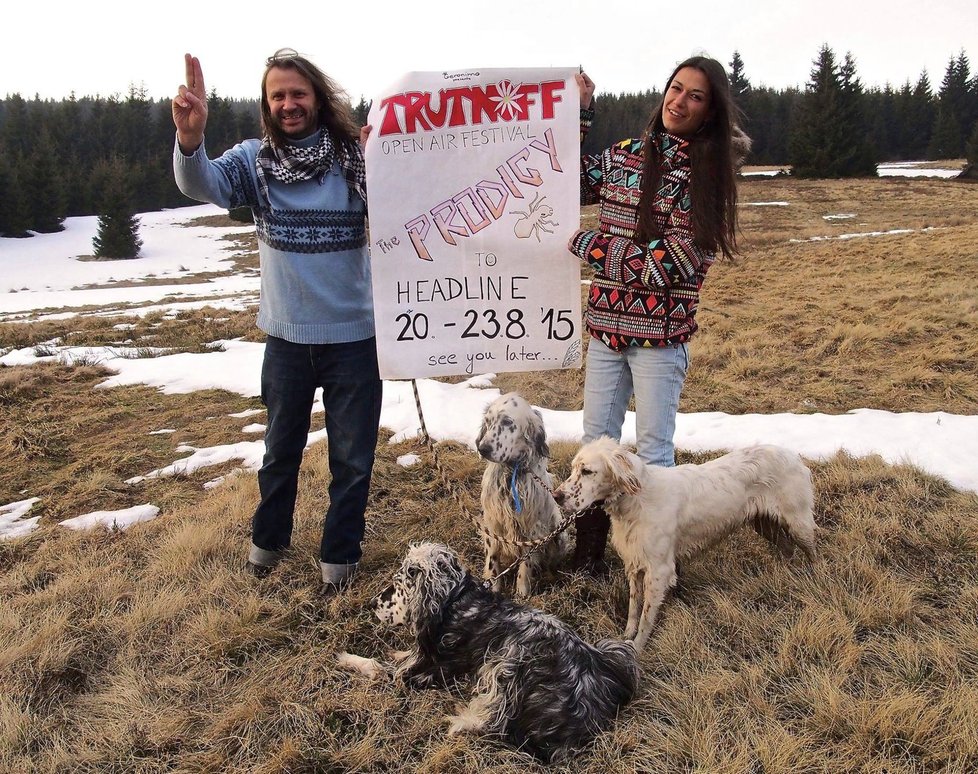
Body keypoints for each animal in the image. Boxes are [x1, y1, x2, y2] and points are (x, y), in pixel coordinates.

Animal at [336, 544, 640, 768]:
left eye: (399, 583)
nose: (372, 603)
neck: (455, 601)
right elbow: (402, 655)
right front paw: (396, 651)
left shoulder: (424, 671)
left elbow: (378, 667)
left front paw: (347, 658)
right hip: (613, 648)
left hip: (509, 659)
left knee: (494, 721)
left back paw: (460, 724)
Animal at [474, 394, 568, 600]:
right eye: (488, 421)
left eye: (507, 422)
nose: (483, 448)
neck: (511, 473)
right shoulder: (492, 524)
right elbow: (492, 560)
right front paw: (493, 587)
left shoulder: (531, 528)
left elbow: (526, 563)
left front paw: (522, 591)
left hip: (559, 533)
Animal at [548, 440, 816, 652]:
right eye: (574, 469)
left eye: (587, 471)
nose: (556, 496)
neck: (636, 499)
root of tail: (794, 455)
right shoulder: (634, 564)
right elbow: (634, 609)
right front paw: (625, 637)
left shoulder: (659, 570)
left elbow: (646, 616)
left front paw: (637, 648)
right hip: (765, 524)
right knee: (787, 550)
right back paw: (784, 574)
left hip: (798, 522)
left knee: (812, 552)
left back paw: (812, 577)